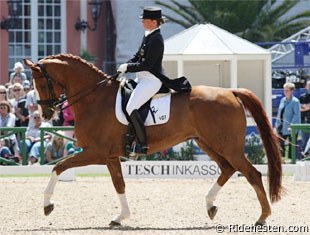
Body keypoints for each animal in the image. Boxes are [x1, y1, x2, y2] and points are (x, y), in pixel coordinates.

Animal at [23, 53, 280, 226]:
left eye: (41, 82)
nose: (46, 114)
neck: (95, 98)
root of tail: (231, 92)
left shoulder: (96, 152)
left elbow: (59, 166)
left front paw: (47, 205)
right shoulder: (110, 156)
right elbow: (119, 184)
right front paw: (120, 217)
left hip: (227, 145)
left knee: (252, 174)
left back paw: (262, 217)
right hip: (207, 143)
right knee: (227, 169)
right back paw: (210, 205)